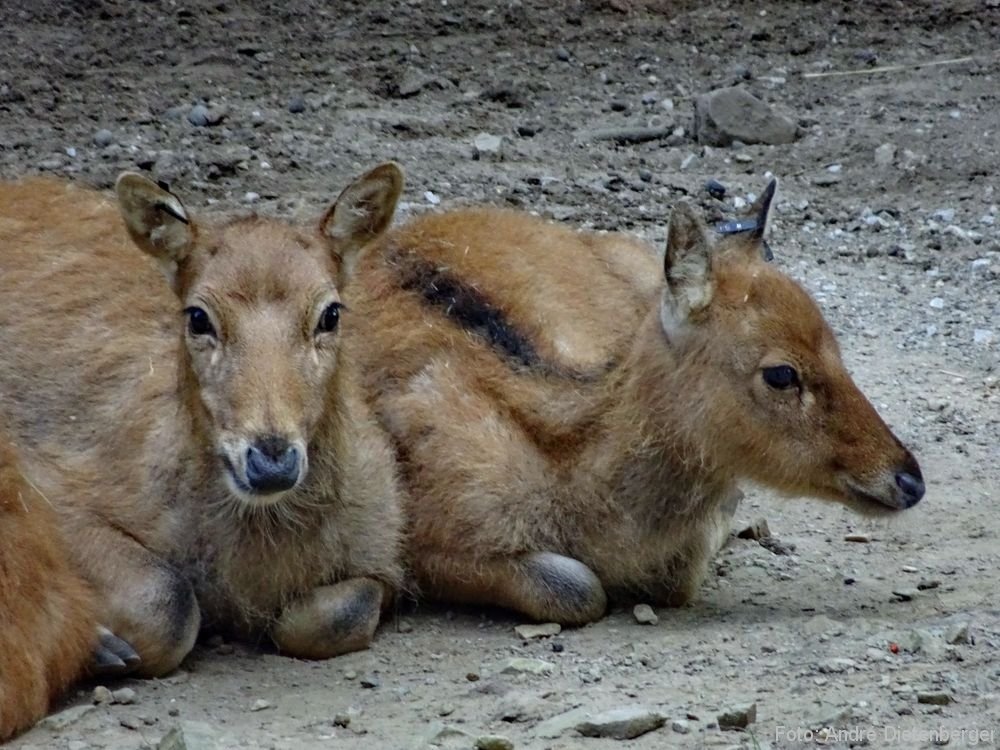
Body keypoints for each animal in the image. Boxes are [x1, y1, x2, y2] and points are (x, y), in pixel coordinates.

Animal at [0, 163, 406, 676]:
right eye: (197, 316)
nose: (271, 461)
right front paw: (103, 647)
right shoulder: (52, 487)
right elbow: (169, 605)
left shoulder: (385, 549)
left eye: (330, 313)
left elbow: (335, 616)